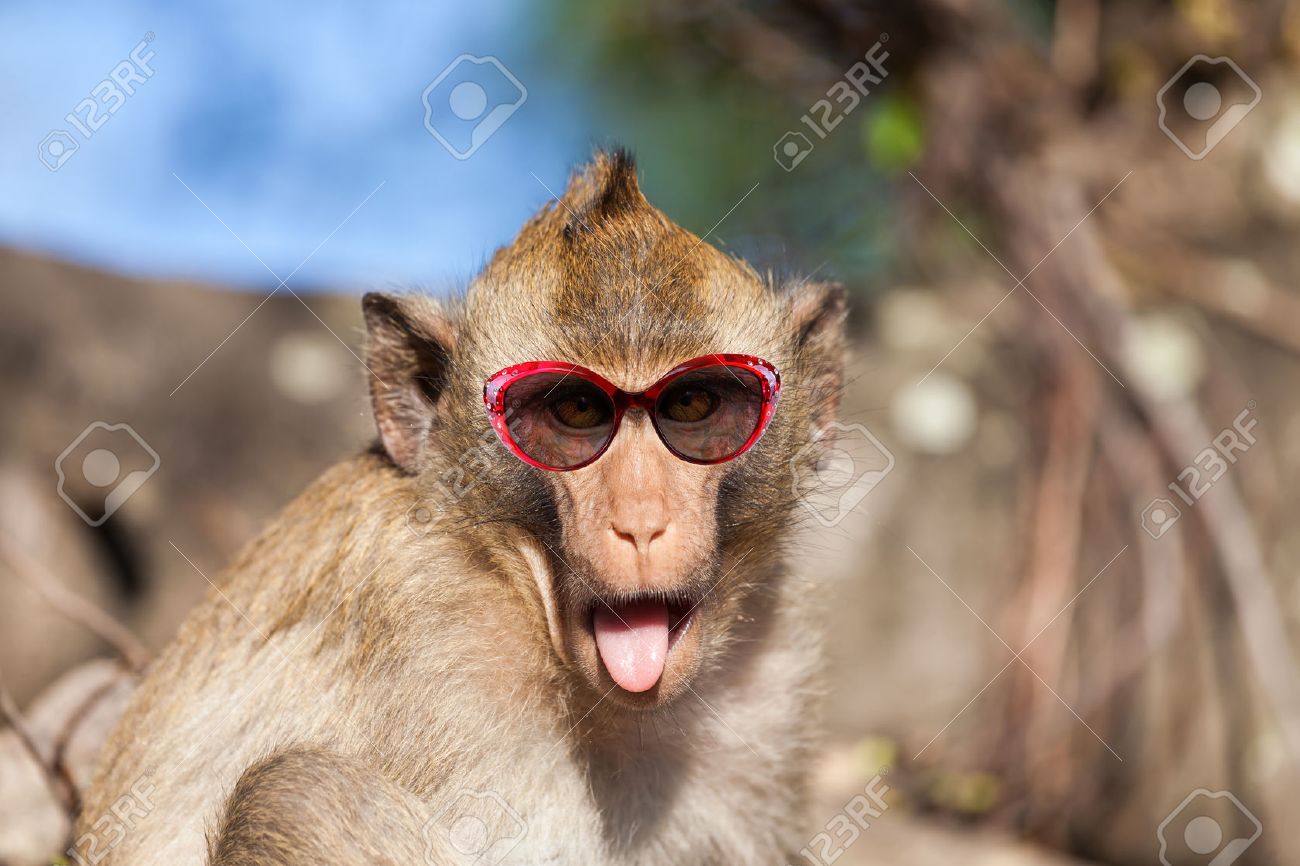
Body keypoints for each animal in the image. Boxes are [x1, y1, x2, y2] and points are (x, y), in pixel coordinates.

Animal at [75, 149, 848, 865]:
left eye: (692, 406)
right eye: (575, 412)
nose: (639, 521)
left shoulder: (767, 687)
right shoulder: (436, 642)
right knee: (300, 795)